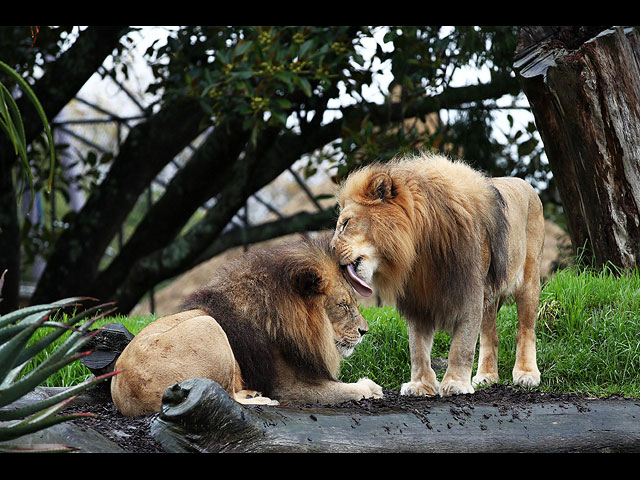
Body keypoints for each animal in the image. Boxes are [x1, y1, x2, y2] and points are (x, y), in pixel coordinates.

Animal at [110, 233, 382, 416]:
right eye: (343, 305)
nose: (365, 331)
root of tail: (126, 399)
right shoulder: (288, 387)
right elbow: (346, 390)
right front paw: (370, 387)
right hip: (208, 326)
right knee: (223, 394)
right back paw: (262, 400)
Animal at [330, 154, 544, 398]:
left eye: (346, 223)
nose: (330, 250)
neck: (420, 251)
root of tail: (525, 184)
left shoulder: (470, 293)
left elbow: (462, 345)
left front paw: (456, 383)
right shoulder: (419, 298)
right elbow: (417, 348)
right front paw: (420, 385)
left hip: (529, 282)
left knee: (526, 330)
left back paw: (526, 374)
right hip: (490, 298)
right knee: (490, 335)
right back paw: (486, 376)